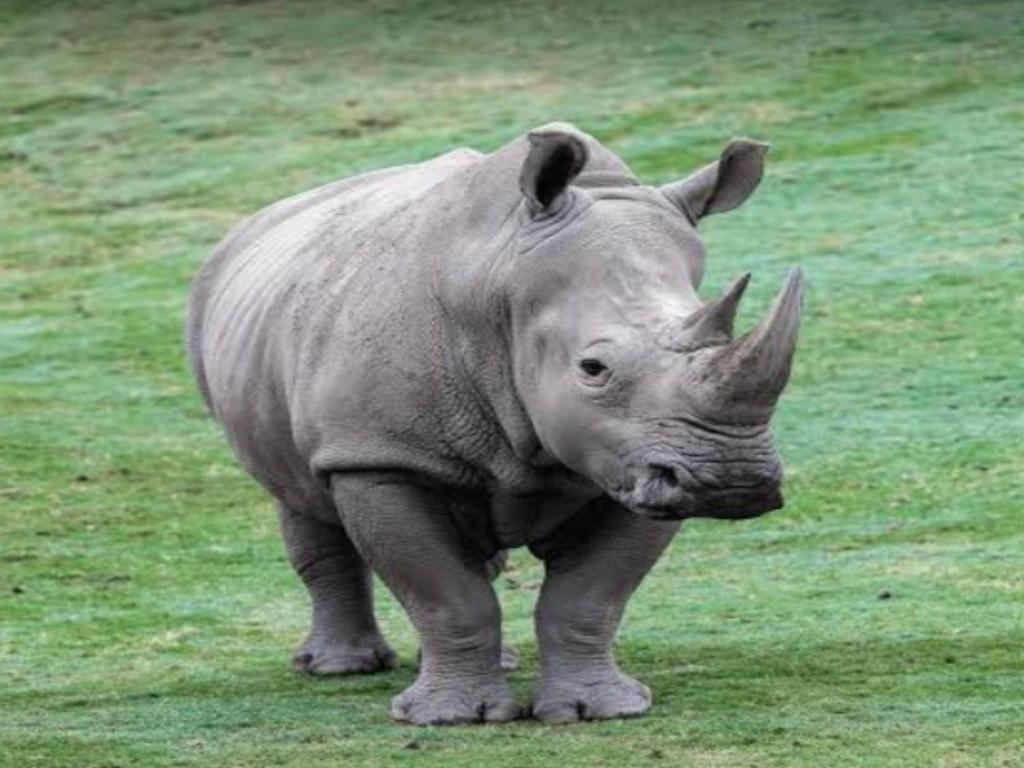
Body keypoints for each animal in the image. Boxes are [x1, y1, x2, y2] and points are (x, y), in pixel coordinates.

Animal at [186, 122, 803, 725]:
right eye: (592, 368)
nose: (732, 479)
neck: (501, 285)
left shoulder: (636, 457)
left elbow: (591, 597)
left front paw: (597, 711)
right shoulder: (377, 455)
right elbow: (444, 593)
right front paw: (451, 720)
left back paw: (492, 662)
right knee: (299, 496)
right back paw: (340, 669)